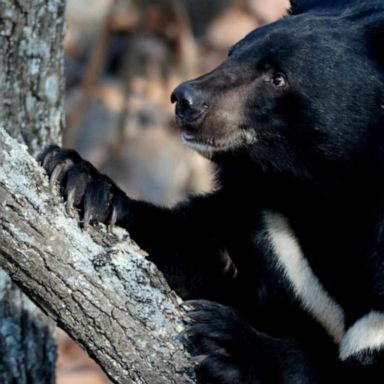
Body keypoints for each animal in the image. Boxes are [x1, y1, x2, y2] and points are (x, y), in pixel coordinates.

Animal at [39, 0, 384, 382]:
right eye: (233, 52)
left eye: (278, 77)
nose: (185, 99)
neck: (328, 188)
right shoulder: (267, 218)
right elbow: (199, 249)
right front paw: (81, 180)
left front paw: (231, 345)